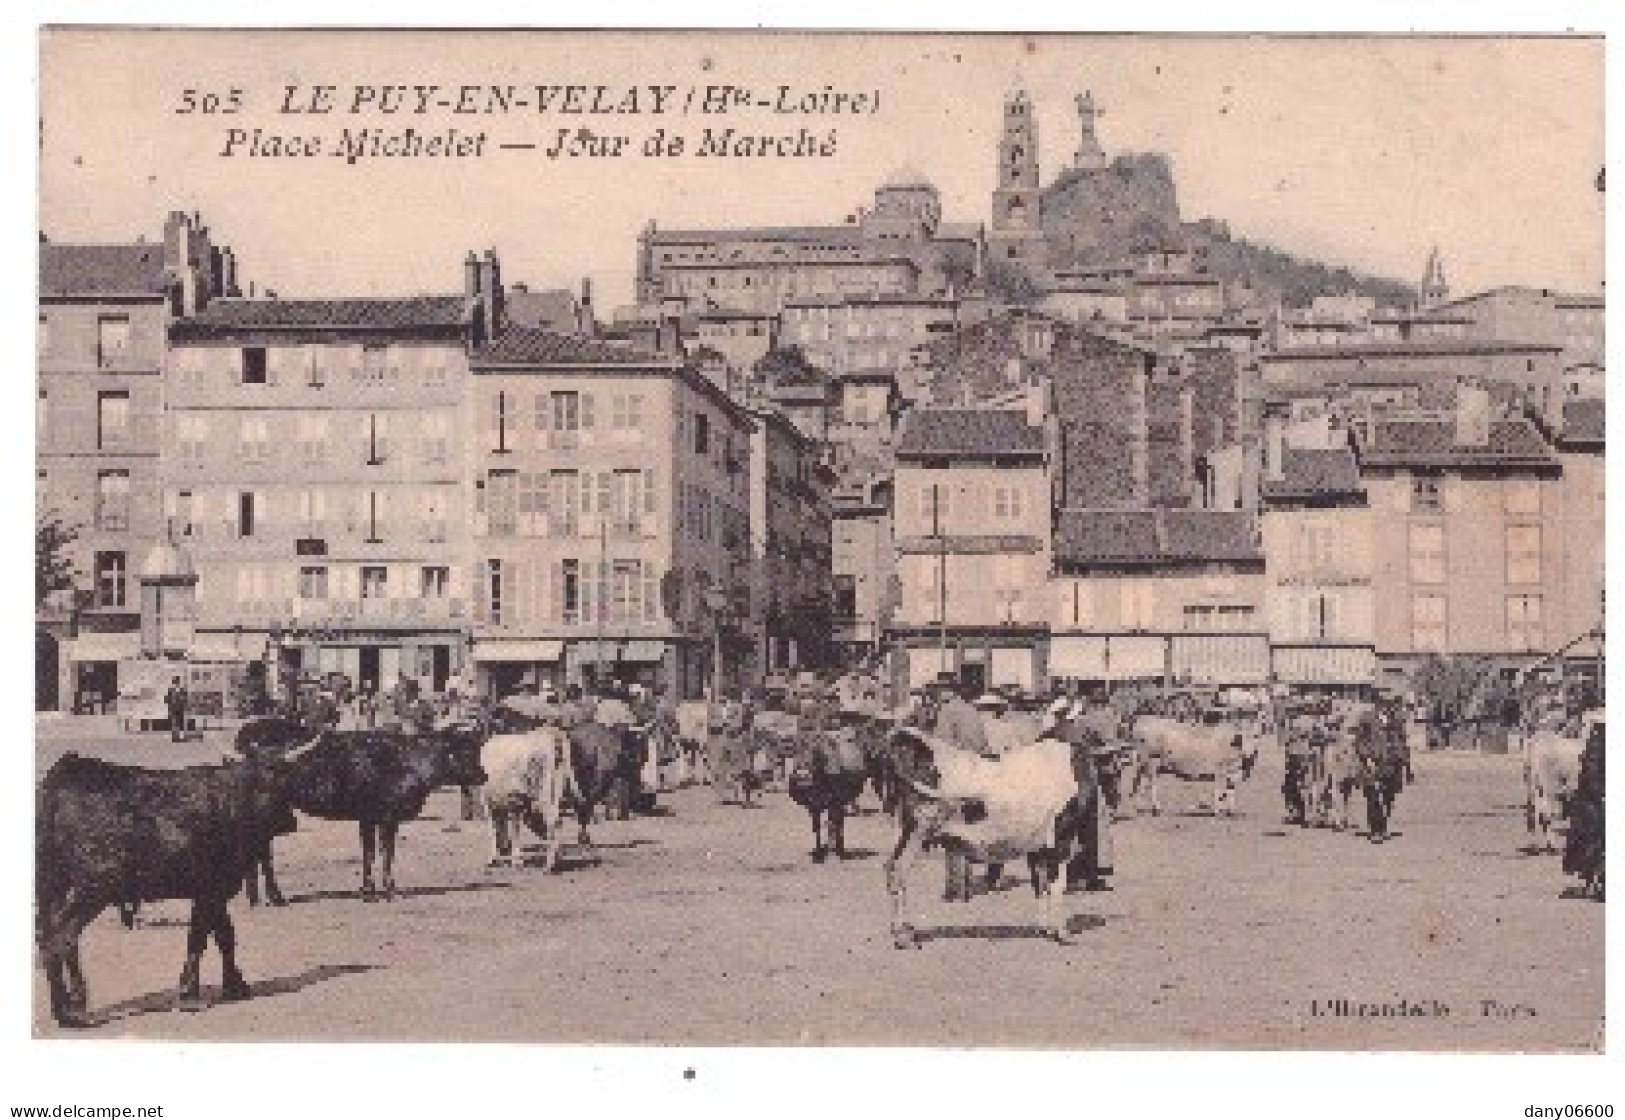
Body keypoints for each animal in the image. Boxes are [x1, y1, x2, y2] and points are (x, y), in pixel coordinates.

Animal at [36, 751, 297, 1020]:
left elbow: (221, 935)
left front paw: (234, 987)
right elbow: (202, 938)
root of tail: (66, 770)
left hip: (55, 887)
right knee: (60, 937)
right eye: (278, 785)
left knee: (54, 936)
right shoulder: (212, 889)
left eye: (286, 781)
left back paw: (73, 1003)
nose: (291, 821)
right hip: (94, 888)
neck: (233, 803)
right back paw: (67, 1015)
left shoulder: (211, 892)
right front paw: (191, 995)